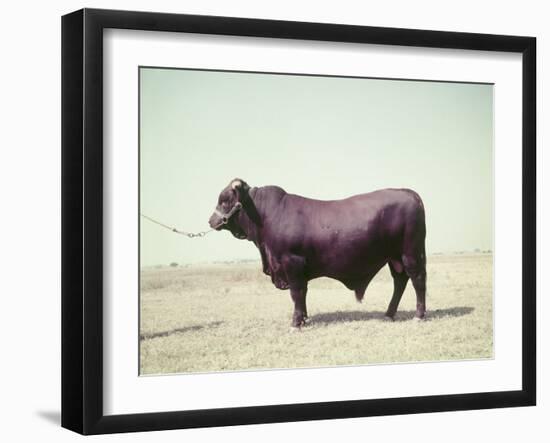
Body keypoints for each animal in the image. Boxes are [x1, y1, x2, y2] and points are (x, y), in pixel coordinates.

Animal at [209, 179, 430, 328]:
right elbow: (303, 293)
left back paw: (418, 315)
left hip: (411, 253)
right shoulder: (298, 267)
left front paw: (296, 323)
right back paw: (388, 313)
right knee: (400, 281)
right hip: (395, 258)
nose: (211, 221)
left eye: (225, 200)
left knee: (417, 279)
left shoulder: (291, 262)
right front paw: (304, 318)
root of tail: (410, 193)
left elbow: (296, 292)